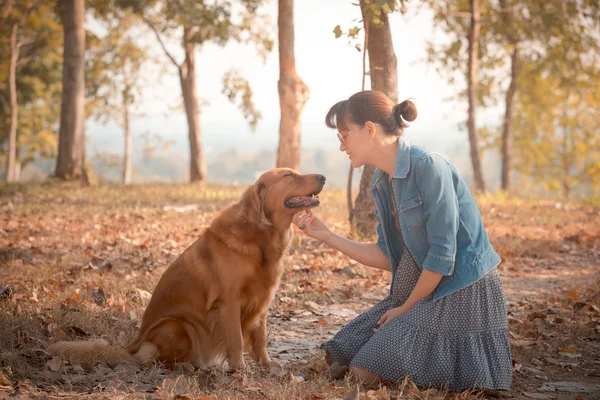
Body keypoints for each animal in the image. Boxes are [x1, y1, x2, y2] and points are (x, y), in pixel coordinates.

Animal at [49, 168, 326, 368]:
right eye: (288, 175)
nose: (323, 177)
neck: (260, 236)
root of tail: (132, 344)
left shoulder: (262, 300)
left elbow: (260, 339)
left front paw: (268, 366)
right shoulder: (229, 301)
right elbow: (236, 339)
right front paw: (240, 370)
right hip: (180, 325)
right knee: (149, 356)